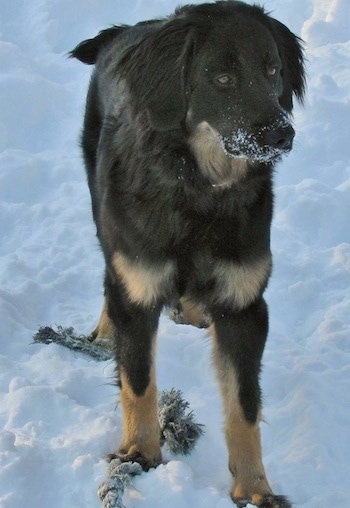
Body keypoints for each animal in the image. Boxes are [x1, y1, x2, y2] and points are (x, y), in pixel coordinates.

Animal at [70, 1, 304, 506]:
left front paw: (255, 488)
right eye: (222, 78)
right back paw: (104, 332)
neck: (199, 191)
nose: (282, 135)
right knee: (108, 277)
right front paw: (139, 453)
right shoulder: (137, 287)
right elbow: (138, 381)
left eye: (272, 69)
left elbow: (245, 405)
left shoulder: (244, 304)